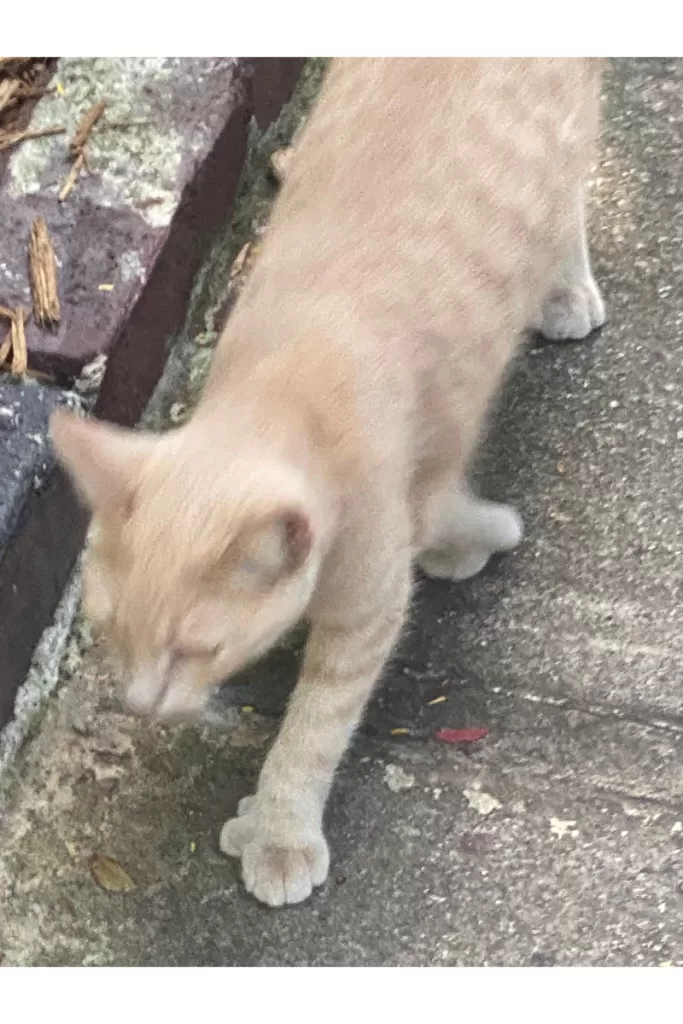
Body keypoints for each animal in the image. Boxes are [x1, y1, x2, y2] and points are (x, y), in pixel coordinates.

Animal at [52, 58, 602, 905]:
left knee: (568, 196)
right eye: (111, 633)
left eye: (196, 649)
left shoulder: (372, 595)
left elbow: (313, 729)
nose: (142, 706)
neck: (286, 381)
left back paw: (564, 289)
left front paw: (278, 831)